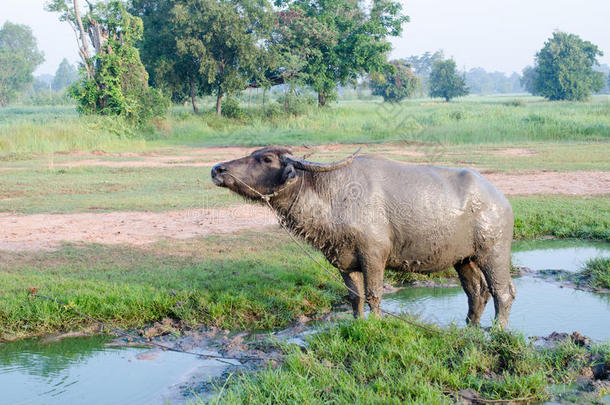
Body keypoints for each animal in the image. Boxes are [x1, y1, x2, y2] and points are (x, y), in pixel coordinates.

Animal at [211, 147, 516, 326]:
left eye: (265, 159)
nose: (217, 169)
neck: (332, 195)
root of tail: (501, 200)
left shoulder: (374, 255)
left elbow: (374, 295)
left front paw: (377, 324)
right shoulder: (344, 260)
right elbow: (354, 296)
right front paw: (358, 323)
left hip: (494, 253)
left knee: (503, 292)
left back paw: (496, 332)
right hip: (465, 259)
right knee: (476, 292)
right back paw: (470, 327)